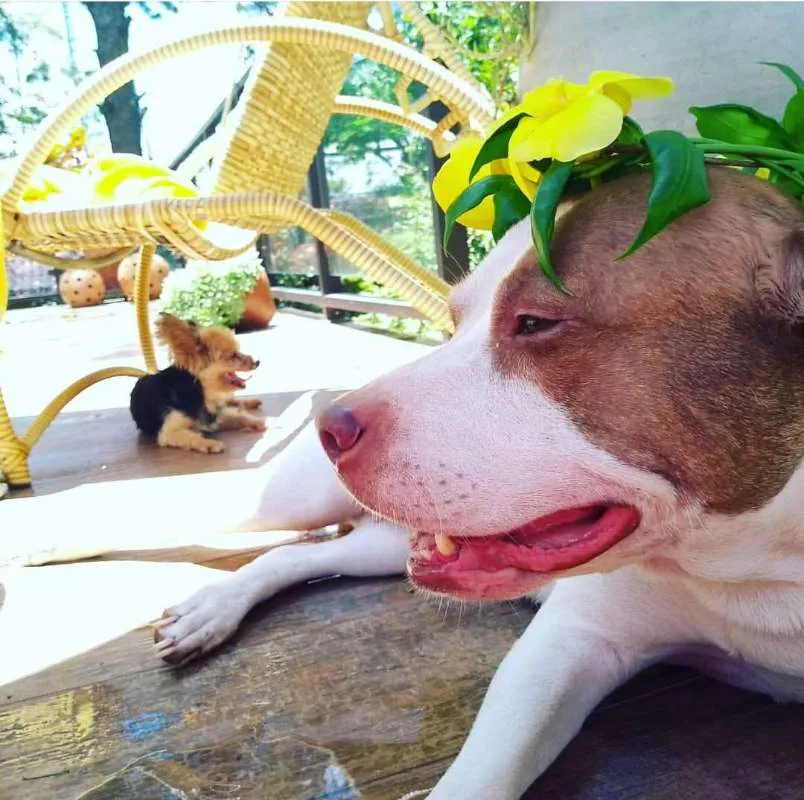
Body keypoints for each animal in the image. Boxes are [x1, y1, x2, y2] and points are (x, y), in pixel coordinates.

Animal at [130, 313, 266, 454]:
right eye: (233, 355)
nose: (257, 362)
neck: (202, 392)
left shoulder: (215, 416)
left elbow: (237, 416)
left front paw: (253, 421)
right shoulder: (169, 433)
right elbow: (193, 437)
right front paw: (210, 443)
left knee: (234, 401)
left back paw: (251, 402)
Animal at [153, 169, 804, 799]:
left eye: (536, 323)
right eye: (456, 318)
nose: (330, 425)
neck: (750, 569)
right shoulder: (567, 643)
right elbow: (478, 778)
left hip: (387, 544)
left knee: (304, 556)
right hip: (286, 501)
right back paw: (199, 602)